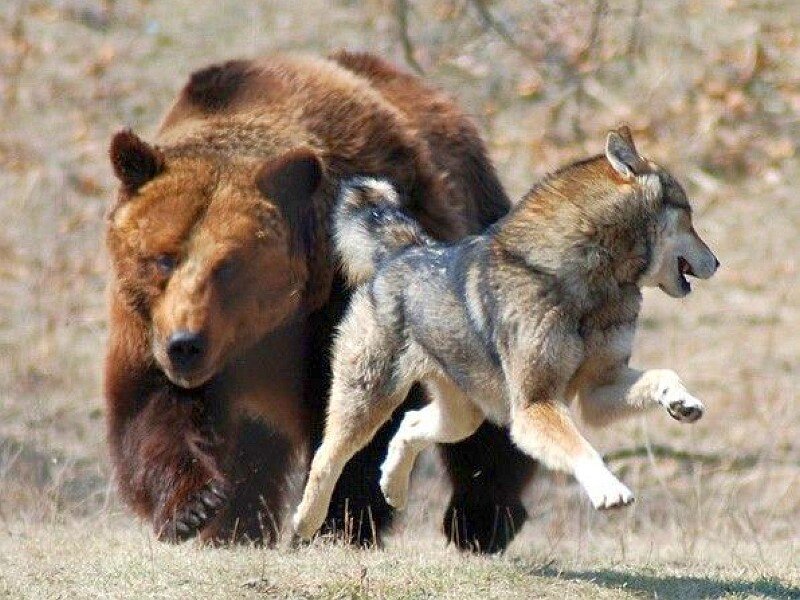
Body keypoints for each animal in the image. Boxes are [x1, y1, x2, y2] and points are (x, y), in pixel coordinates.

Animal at [104, 50, 535, 552]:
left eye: (228, 265)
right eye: (163, 258)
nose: (185, 345)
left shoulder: (336, 305)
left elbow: (356, 415)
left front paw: (341, 522)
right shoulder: (147, 326)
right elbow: (148, 407)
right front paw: (196, 507)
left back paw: (481, 518)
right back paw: (239, 527)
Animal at [293, 127, 719, 539]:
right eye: (689, 215)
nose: (717, 262)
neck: (591, 282)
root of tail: (404, 250)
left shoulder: (596, 391)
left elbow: (662, 375)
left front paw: (682, 402)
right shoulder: (533, 407)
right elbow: (582, 448)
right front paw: (609, 490)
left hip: (462, 417)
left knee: (409, 424)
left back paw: (393, 488)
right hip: (368, 401)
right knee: (326, 456)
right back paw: (305, 523)